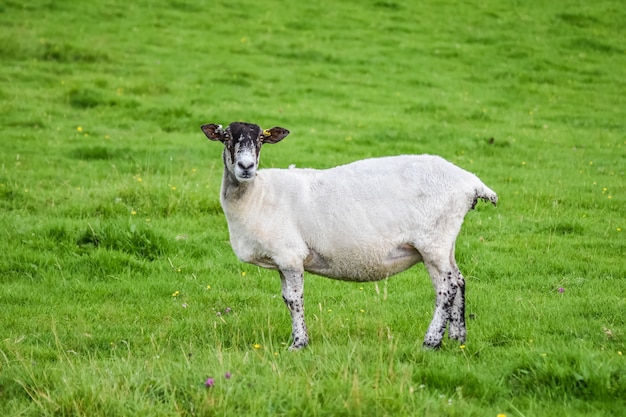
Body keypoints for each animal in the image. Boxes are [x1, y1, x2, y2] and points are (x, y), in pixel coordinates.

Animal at [201, 122, 498, 350]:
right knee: (459, 281)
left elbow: (295, 300)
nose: (246, 166)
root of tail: (471, 182)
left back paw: (431, 341)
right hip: (447, 240)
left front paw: (299, 343)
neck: (257, 195)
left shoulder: (290, 256)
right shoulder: (282, 261)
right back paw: (458, 338)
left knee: (446, 288)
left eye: (261, 138)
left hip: (433, 242)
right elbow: (286, 299)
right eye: (226, 137)